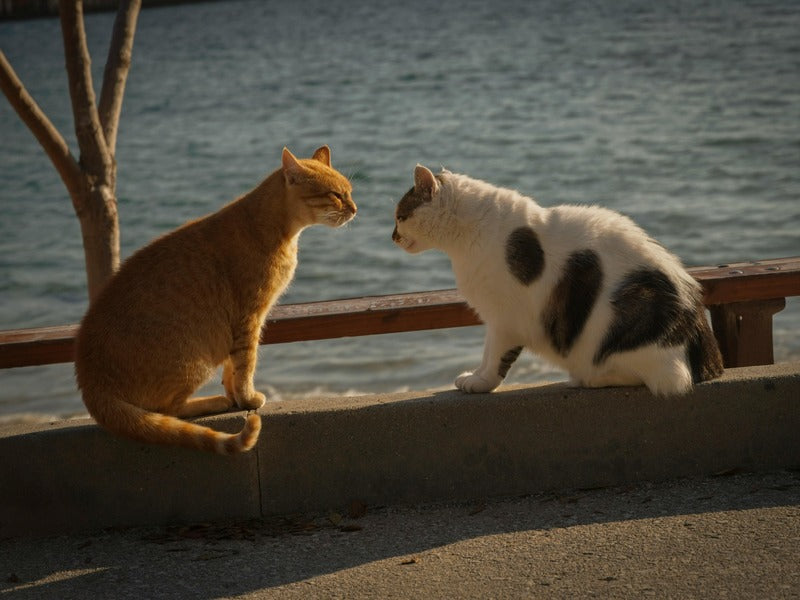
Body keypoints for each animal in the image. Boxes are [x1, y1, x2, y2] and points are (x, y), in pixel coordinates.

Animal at [76, 146, 356, 454]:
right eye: (336, 194)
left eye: (350, 192)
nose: (355, 209)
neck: (274, 227)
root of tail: (90, 382)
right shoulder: (249, 317)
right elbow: (246, 364)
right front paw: (246, 399)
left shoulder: (239, 325)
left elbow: (233, 369)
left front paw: (237, 396)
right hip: (194, 361)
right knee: (168, 410)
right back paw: (211, 402)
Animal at [394, 166, 724, 396]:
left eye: (399, 216)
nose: (392, 236)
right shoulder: (494, 317)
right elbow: (487, 353)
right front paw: (474, 375)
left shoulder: (504, 319)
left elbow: (495, 357)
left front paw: (480, 382)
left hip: (629, 317)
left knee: (661, 378)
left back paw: (591, 378)